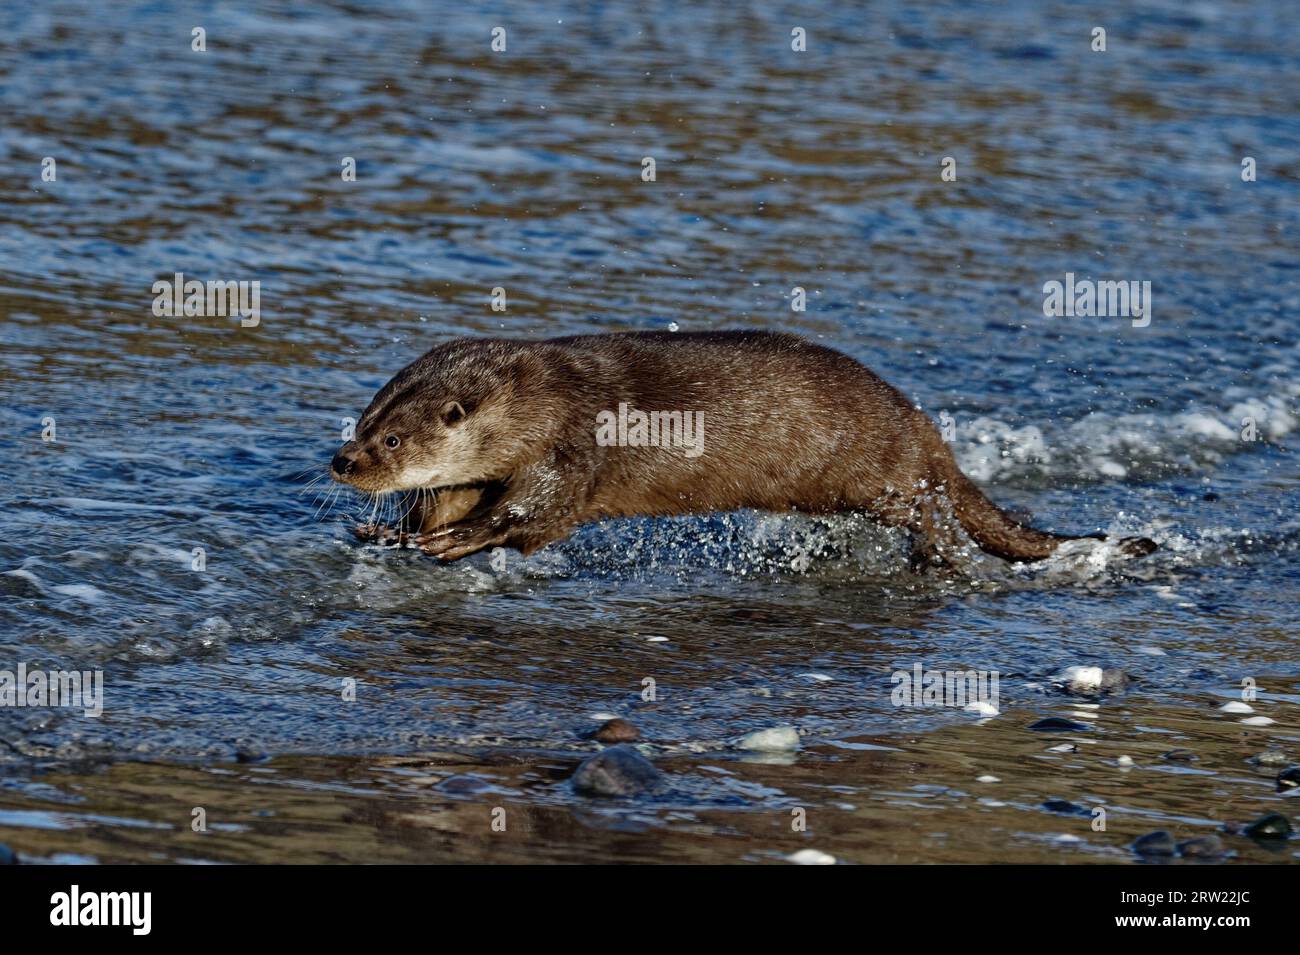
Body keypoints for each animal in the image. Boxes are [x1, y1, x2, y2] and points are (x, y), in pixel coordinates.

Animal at [327, 330, 1159, 566]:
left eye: (392, 437)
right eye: (360, 423)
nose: (342, 463)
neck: (544, 401)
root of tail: (924, 424)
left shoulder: (572, 453)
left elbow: (534, 517)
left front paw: (456, 541)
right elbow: (448, 497)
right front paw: (392, 531)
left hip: (885, 471)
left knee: (929, 509)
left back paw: (936, 557)